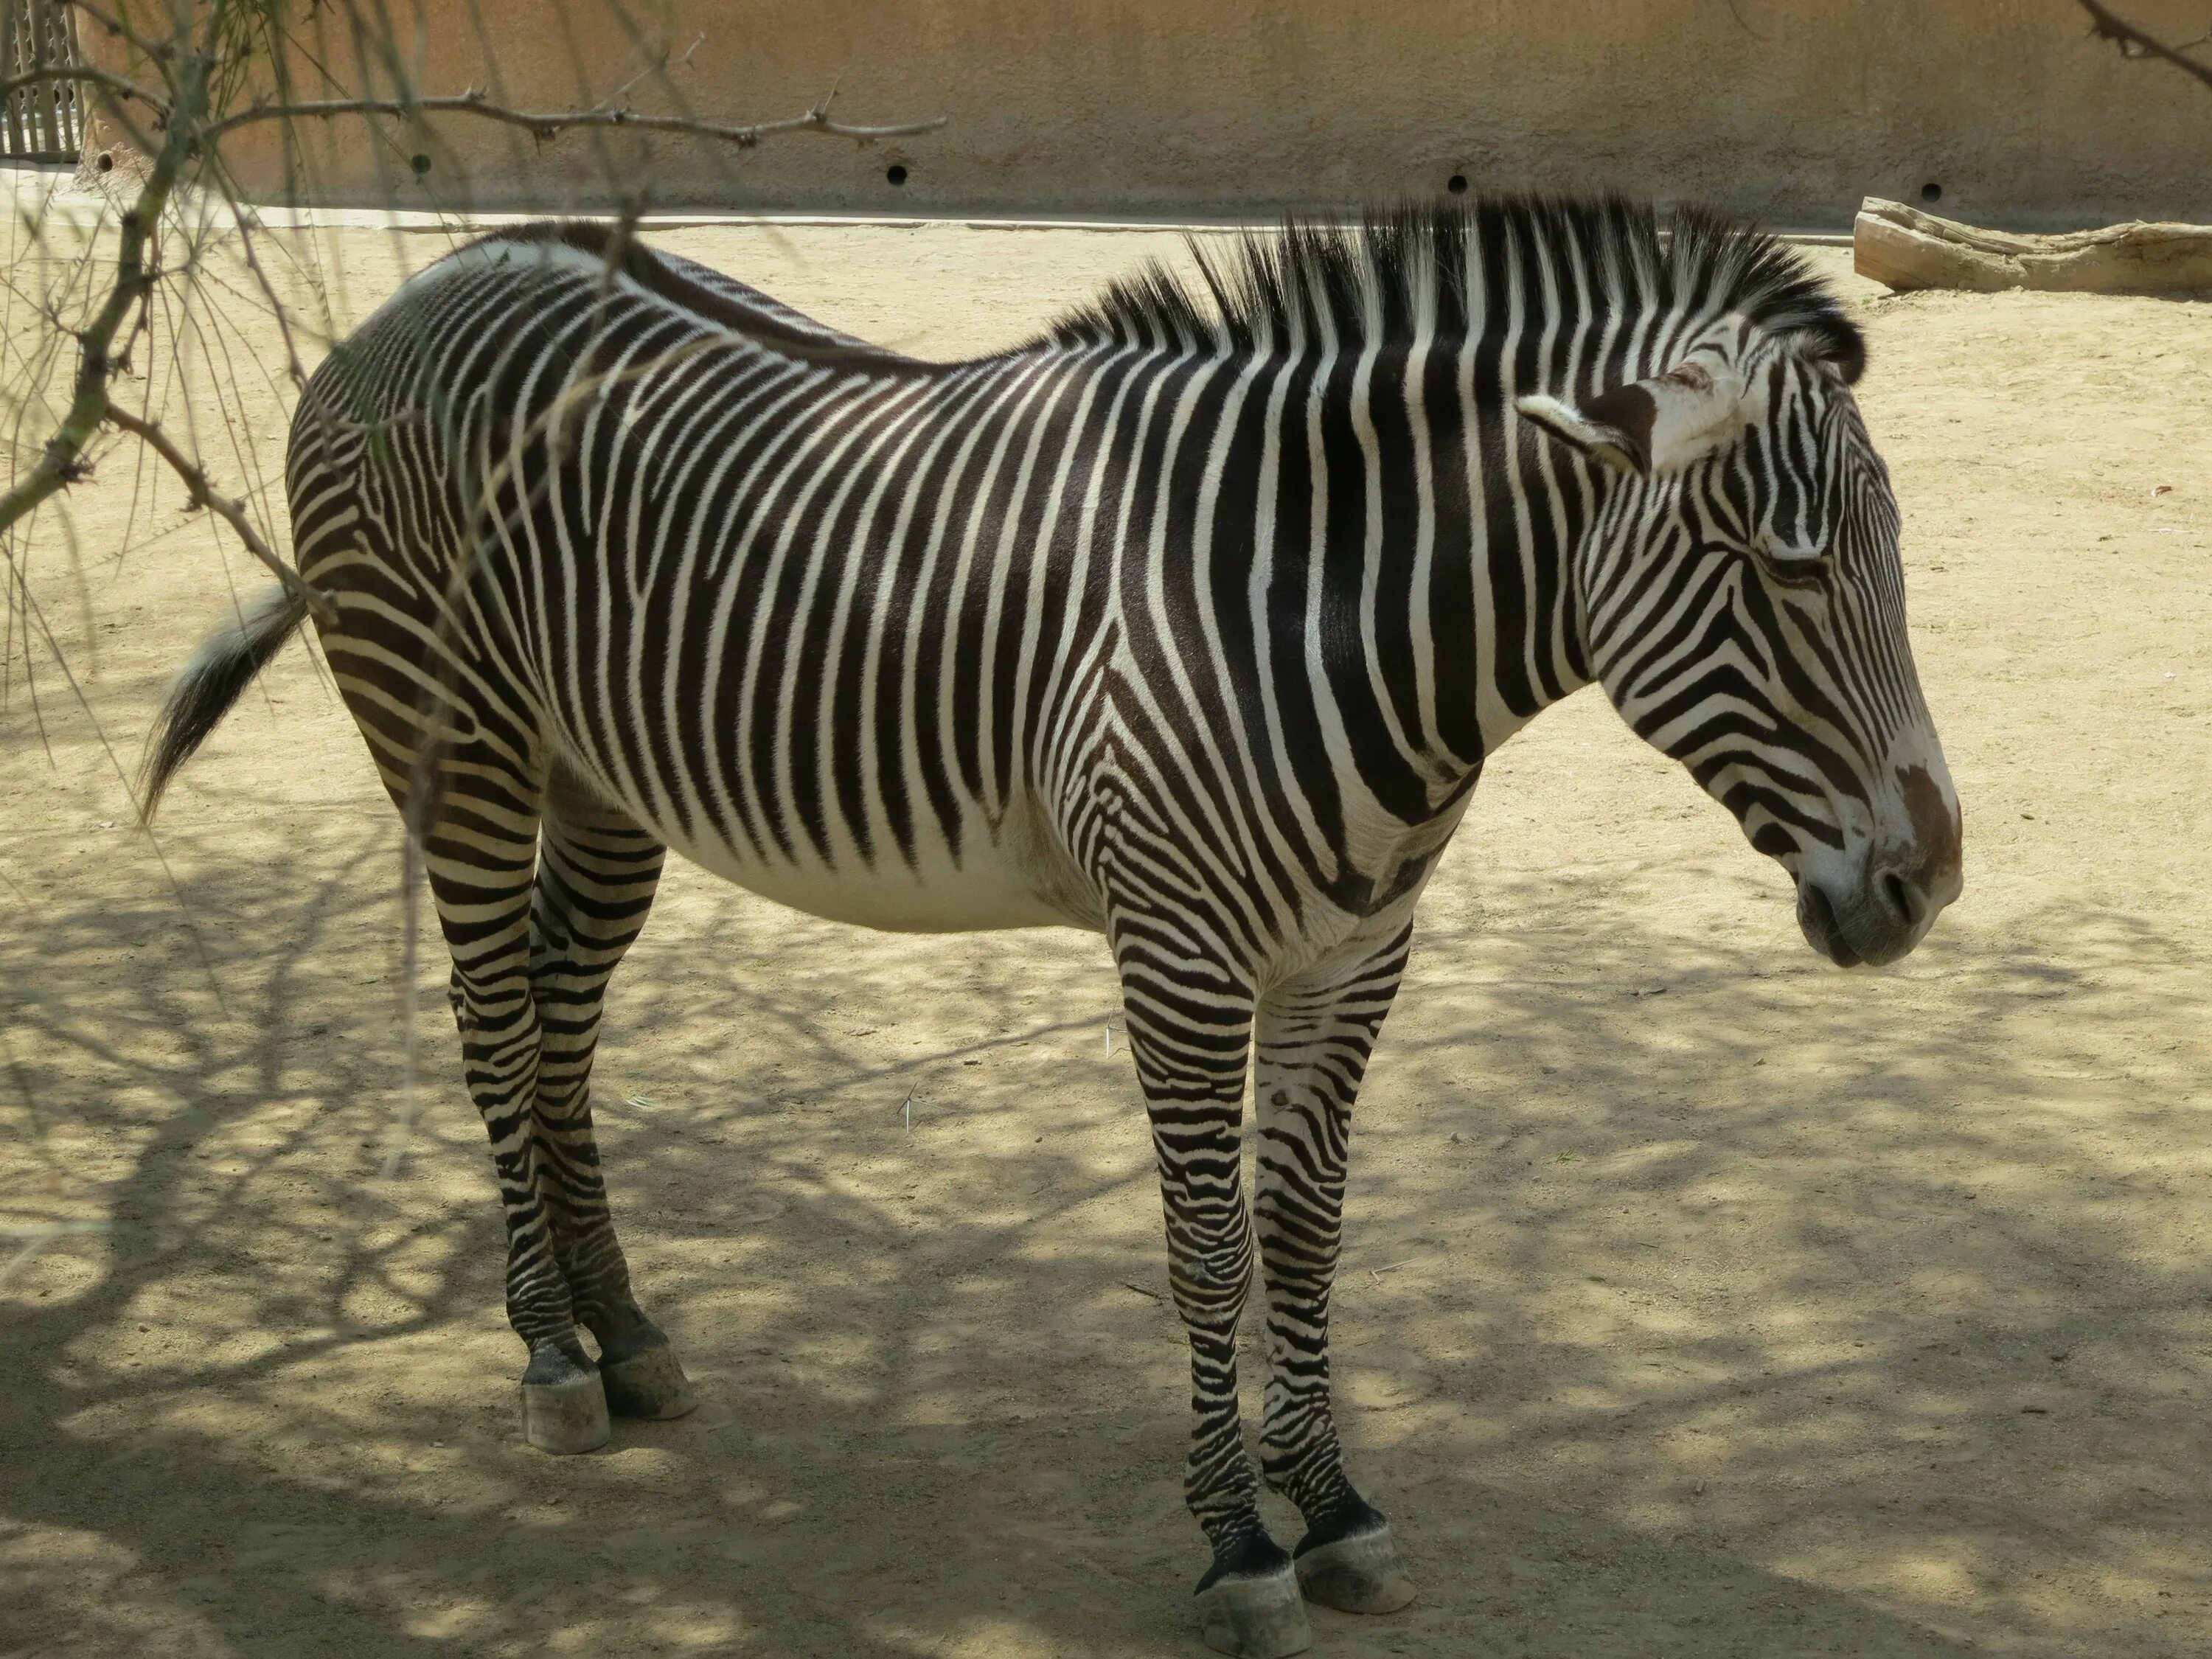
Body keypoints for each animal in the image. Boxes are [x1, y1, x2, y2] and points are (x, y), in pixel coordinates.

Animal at [147, 198, 1964, 1659]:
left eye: (1878, 560)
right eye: (1790, 571)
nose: (1930, 883)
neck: (1317, 607)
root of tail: (434, 274)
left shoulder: (1354, 958)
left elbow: (1309, 1234)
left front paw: (1336, 1508)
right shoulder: (1179, 952)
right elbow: (1211, 1246)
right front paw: (1238, 1549)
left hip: (599, 780)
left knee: (559, 1021)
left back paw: (628, 1335)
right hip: (447, 734)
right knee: (491, 1022)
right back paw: (545, 1357)